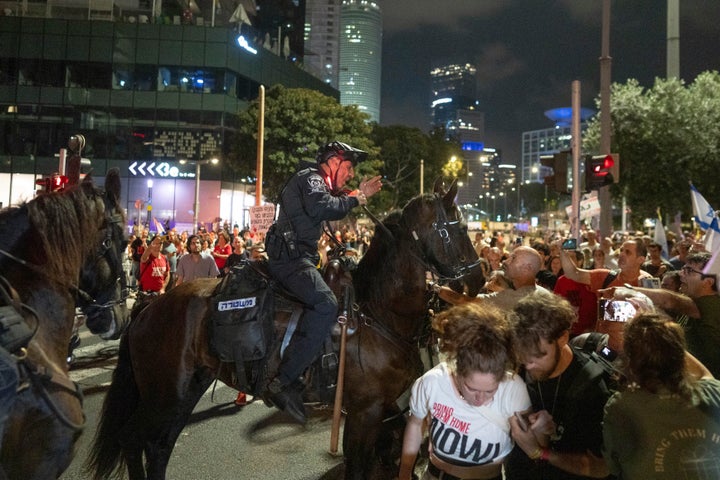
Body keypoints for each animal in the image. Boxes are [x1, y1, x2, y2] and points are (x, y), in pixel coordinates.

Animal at [88, 179, 484, 480]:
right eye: (458, 229)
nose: (479, 279)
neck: (379, 314)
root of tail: (149, 308)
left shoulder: (388, 416)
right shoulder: (364, 414)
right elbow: (357, 470)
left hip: (184, 391)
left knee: (158, 446)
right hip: (163, 394)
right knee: (133, 438)